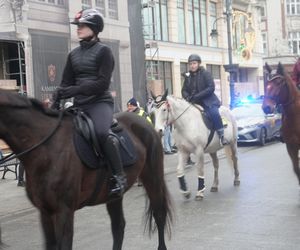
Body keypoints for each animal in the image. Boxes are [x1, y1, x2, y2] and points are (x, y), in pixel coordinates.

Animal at [0, 90, 172, 250]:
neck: (47, 147)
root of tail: (147, 124)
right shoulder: (45, 212)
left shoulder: (64, 211)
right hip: (113, 196)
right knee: (118, 226)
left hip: (152, 177)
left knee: (159, 214)